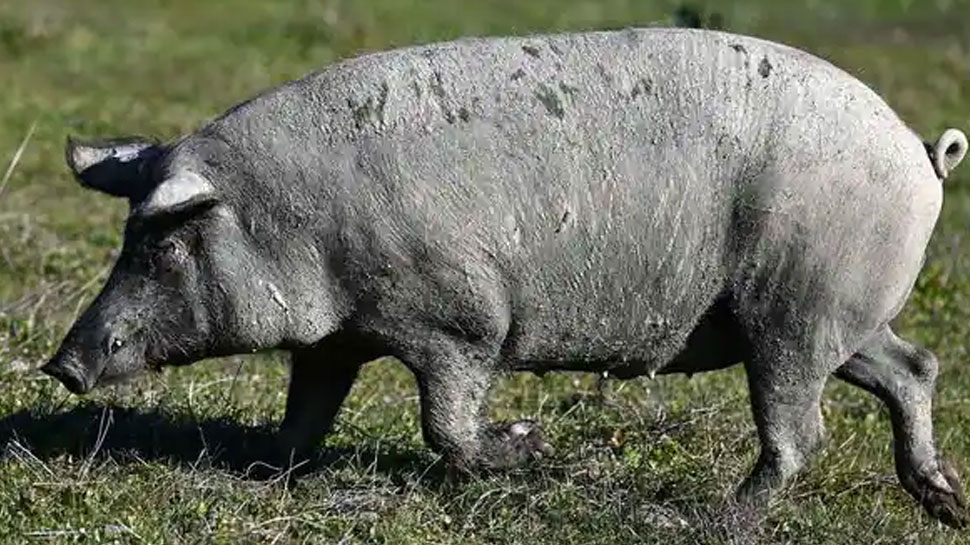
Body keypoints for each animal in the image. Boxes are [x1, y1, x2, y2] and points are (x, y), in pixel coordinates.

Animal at [42, 27, 969, 526]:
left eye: (164, 247)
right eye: (128, 236)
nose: (61, 363)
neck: (298, 220)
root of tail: (922, 152)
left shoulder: (460, 318)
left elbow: (445, 424)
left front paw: (528, 447)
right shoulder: (336, 339)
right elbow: (304, 414)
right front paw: (269, 474)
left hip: (797, 311)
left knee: (801, 430)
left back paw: (717, 517)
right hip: (843, 318)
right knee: (914, 367)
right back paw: (944, 500)